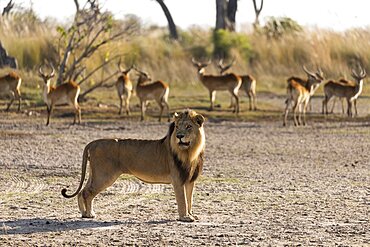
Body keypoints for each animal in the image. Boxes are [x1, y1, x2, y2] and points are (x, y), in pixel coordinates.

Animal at [61, 109, 205, 221]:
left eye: (188, 127)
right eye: (177, 127)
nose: (179, 136)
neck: (190, 152)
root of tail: (92, 143)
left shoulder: (189, 180)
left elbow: (190, 199)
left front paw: (191, 214)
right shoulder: (178, 179)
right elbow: (183, 200)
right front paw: (185, 217)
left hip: (95, 174)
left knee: (82, 191)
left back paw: (84, 213)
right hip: (104, 176)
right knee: (87, 192)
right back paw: (89, 214)